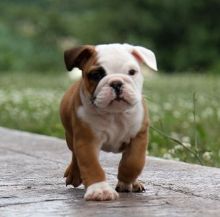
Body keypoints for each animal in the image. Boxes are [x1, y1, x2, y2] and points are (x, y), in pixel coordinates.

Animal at [59, 43, 157, 201]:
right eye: (96, 75)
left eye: (132, 72)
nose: (116, 82)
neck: (115, 114)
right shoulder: (86, 140)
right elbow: (91, 165)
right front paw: (100, 190)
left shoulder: (139, 136)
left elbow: (134, 162)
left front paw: (126, 180)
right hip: (70, 137)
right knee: (74, 155)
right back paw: (74, 174)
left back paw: (134, 183)